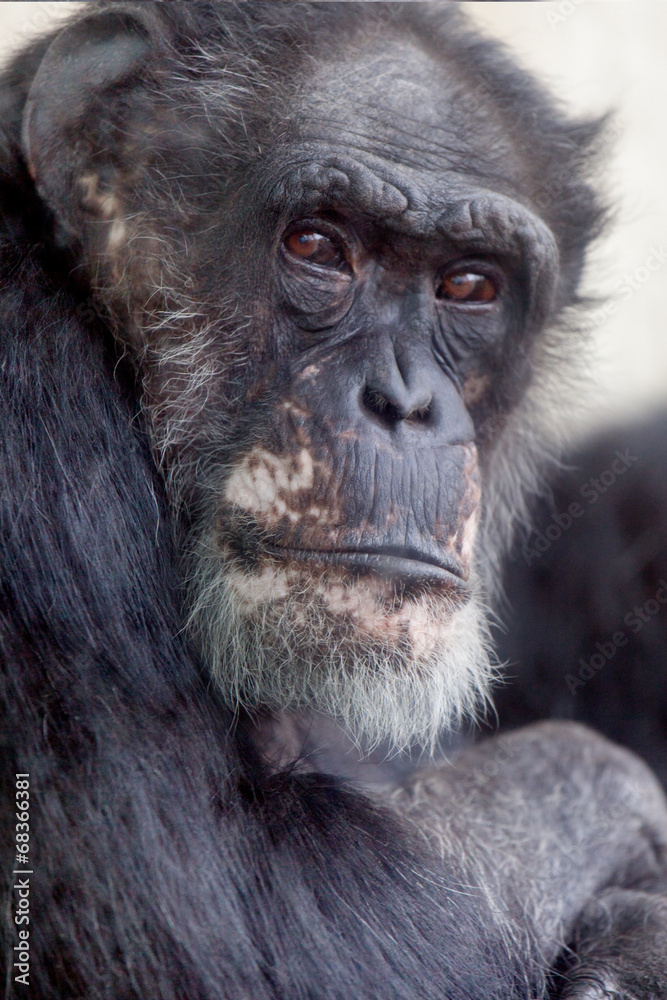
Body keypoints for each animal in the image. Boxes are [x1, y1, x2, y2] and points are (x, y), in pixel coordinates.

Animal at [1, 4, 667, 998]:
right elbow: (264, 921)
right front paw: (619, 821)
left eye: (470, 285)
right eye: (317, 245)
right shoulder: (35, 422)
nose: (402, 402)